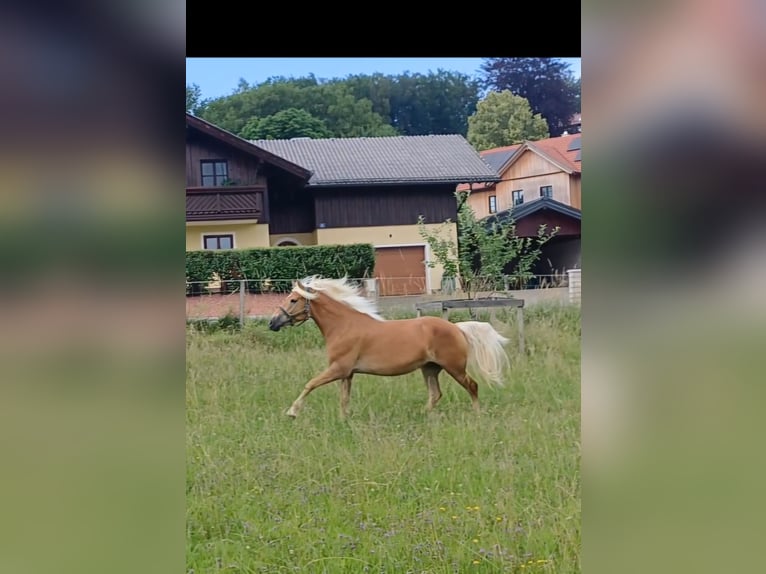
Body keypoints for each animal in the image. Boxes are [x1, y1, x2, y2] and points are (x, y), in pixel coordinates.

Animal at [268, 276, 511, 418]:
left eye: (293, 300)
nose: (272, 323)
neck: (344, 326)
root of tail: (457, 328)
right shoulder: (347, 373)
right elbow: (344, 399)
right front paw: (344, 420)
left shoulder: (338, 369)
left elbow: (310, 384)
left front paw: (292, 412)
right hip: (430, 368)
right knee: (435, 394)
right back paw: (422, 415)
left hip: (455, 368)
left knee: (472, 386)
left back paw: (477, 415)